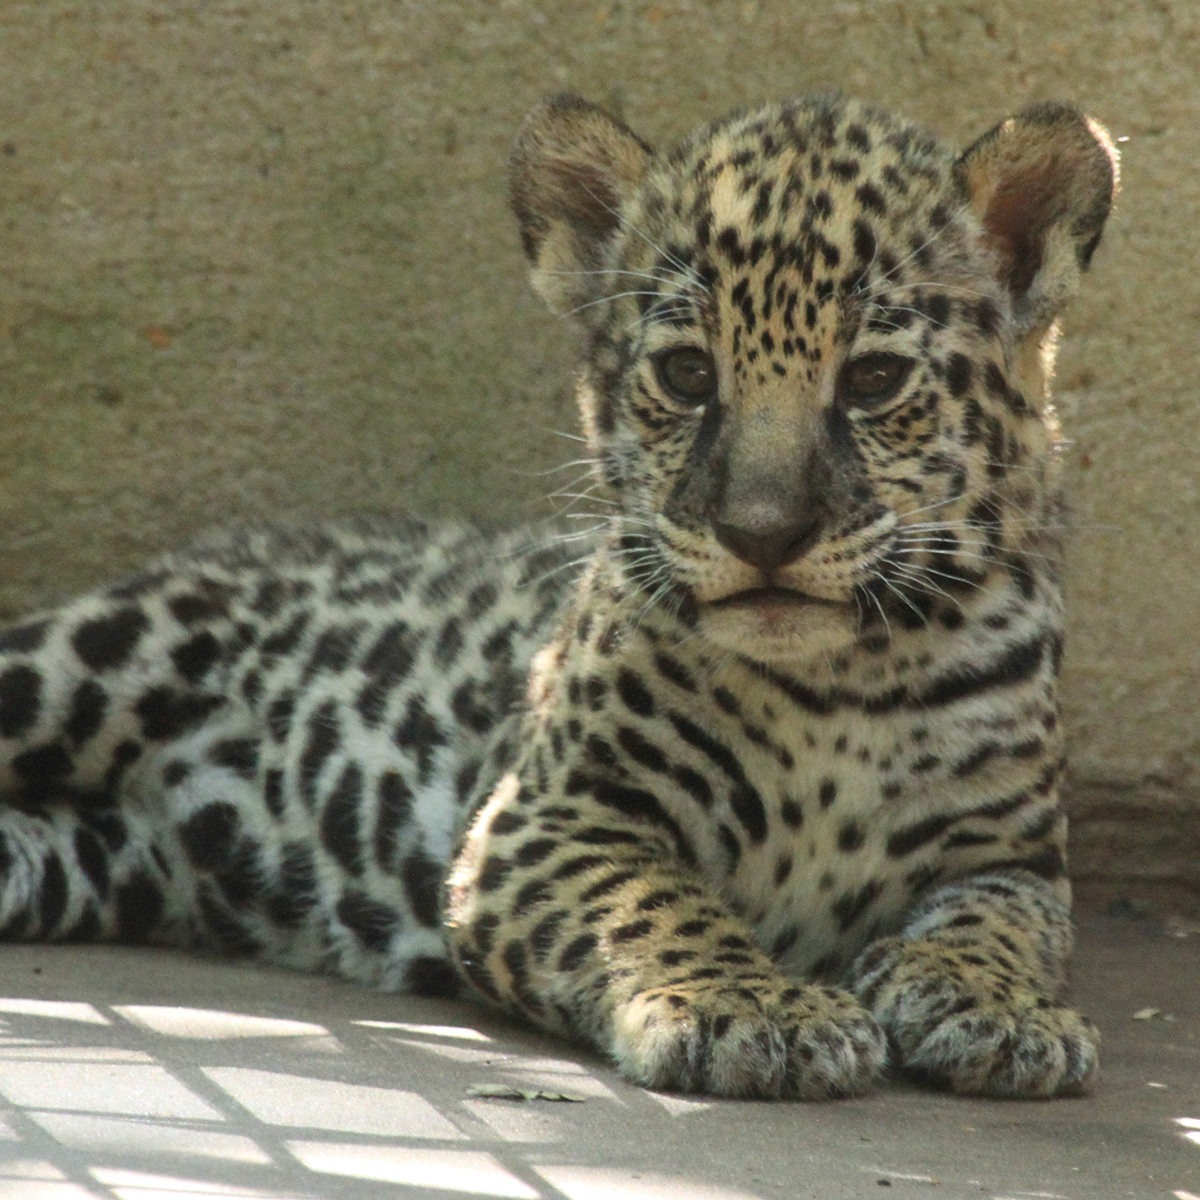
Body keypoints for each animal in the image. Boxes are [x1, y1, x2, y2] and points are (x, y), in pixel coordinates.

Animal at [0, 91, 1117, 1100]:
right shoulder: (552, 815)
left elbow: (1004, 925)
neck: (844, 679)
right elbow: (660, 905)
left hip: (85, 860)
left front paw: (1000, 1009)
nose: (762, 535)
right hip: (88, 658)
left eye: (876, 379)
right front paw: (755, 1007)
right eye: (687, 373)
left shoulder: (1010, 854)